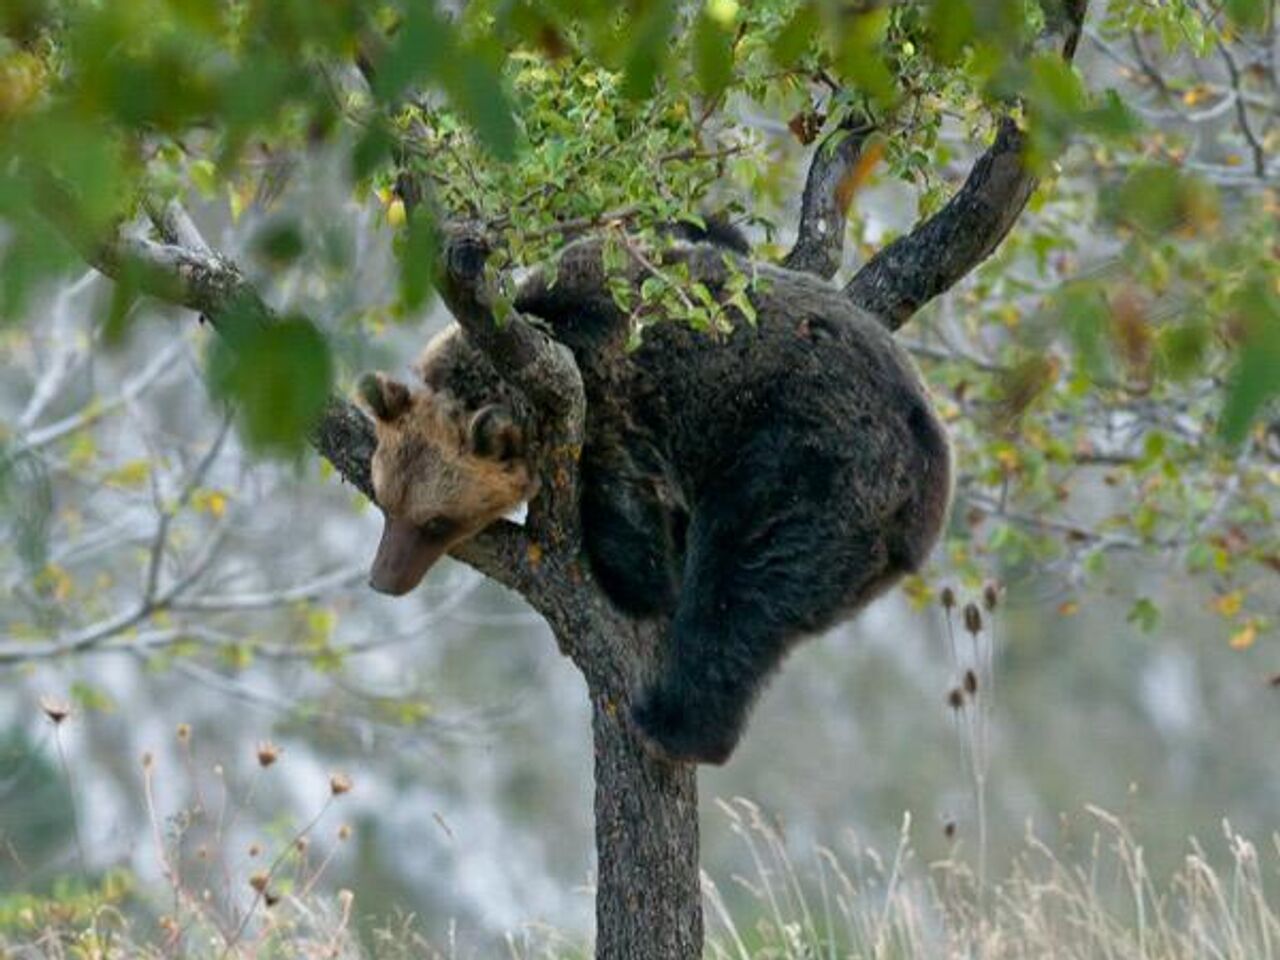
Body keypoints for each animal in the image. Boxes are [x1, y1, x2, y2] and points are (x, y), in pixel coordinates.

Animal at [358, 232, 952, 768]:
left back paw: (674, 725)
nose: (384, 579)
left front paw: (637, 580)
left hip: (809, 463)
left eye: (435, 522)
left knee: (741, 587)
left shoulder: (612, 404)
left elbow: (628, 523)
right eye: (386, 503)